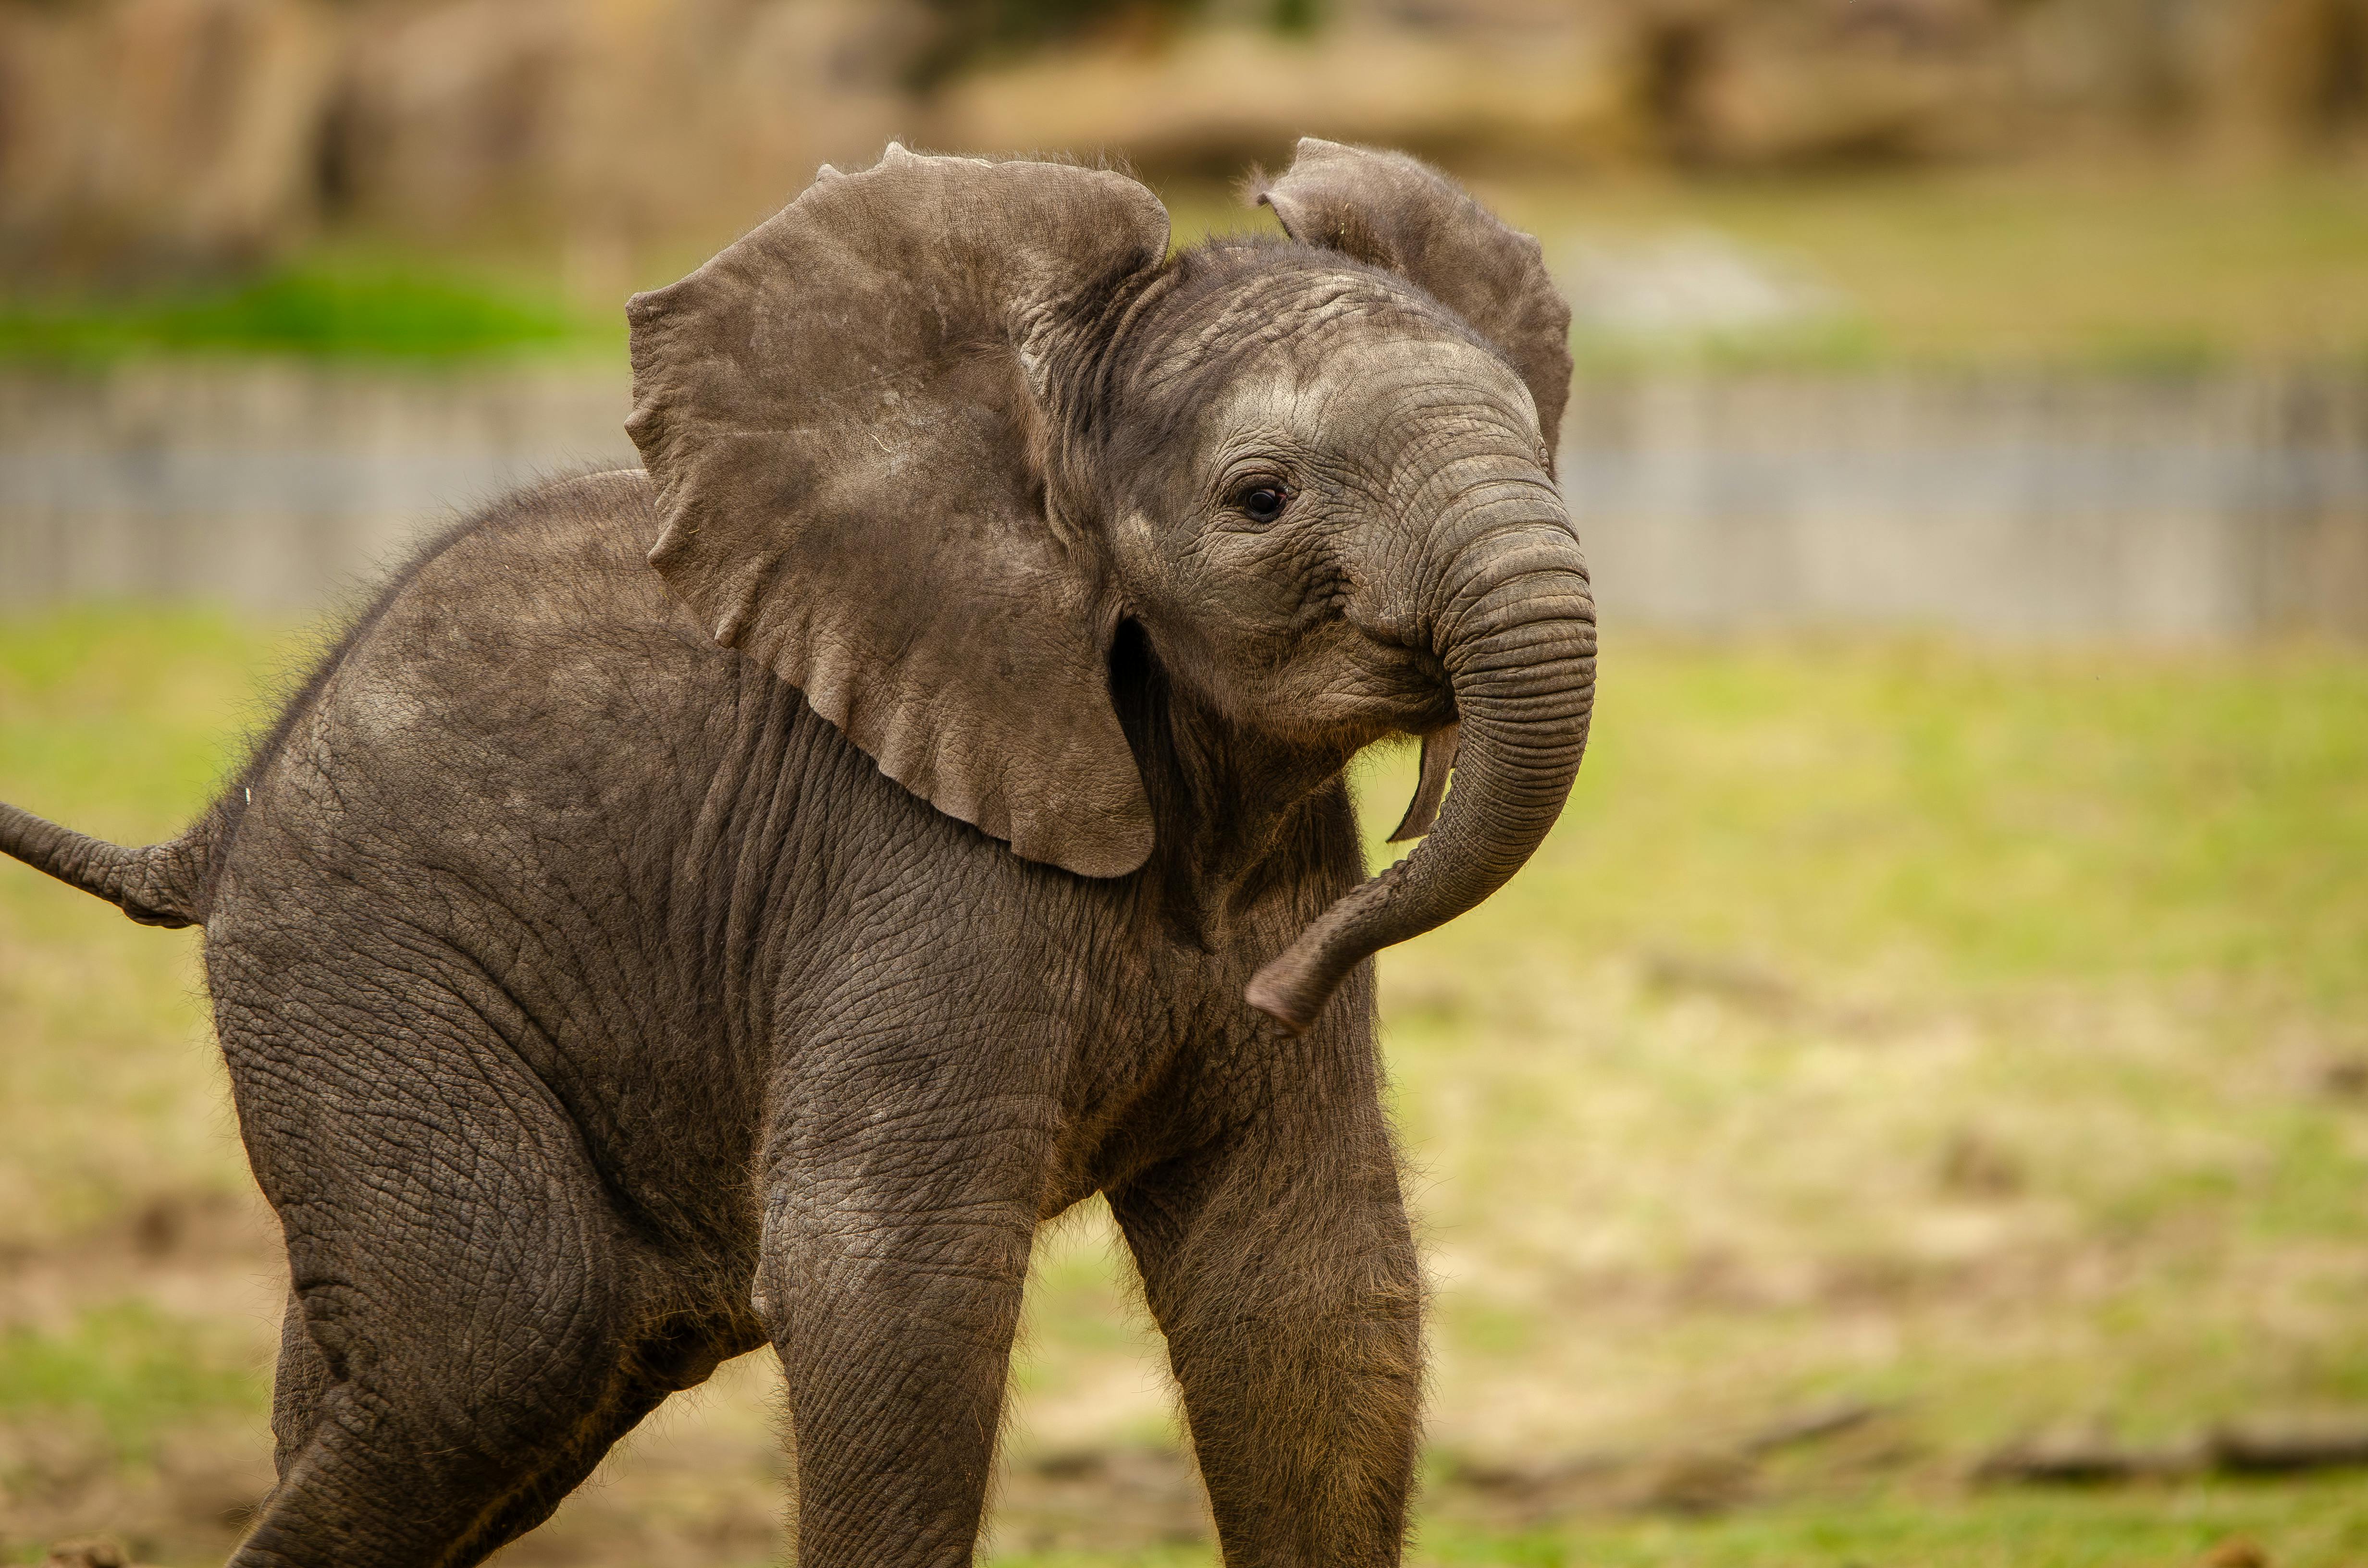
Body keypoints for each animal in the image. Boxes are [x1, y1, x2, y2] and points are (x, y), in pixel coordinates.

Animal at [4, 144, 1591, 1568]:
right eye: (1260, 499)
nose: (1280, 989)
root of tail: (223, 817)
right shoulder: (907, 860)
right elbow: (886, 1274)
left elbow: (1306, 1284)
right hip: (361, 965)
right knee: (505, 1329)